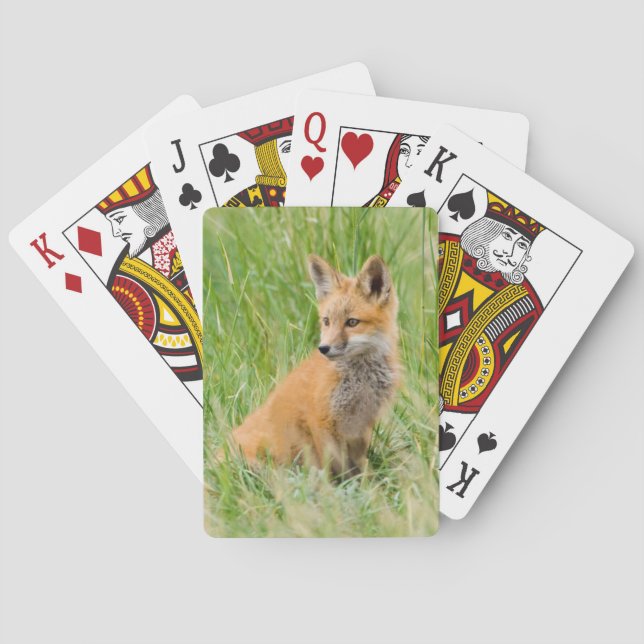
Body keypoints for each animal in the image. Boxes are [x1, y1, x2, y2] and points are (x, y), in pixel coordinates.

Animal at [226, 254, 400, 478]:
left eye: (352, 322)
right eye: (326, 321)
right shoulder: (320, 420)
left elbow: (359, 465)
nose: (323, 348)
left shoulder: (362, 424)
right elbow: (335, 466)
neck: (361, 380)